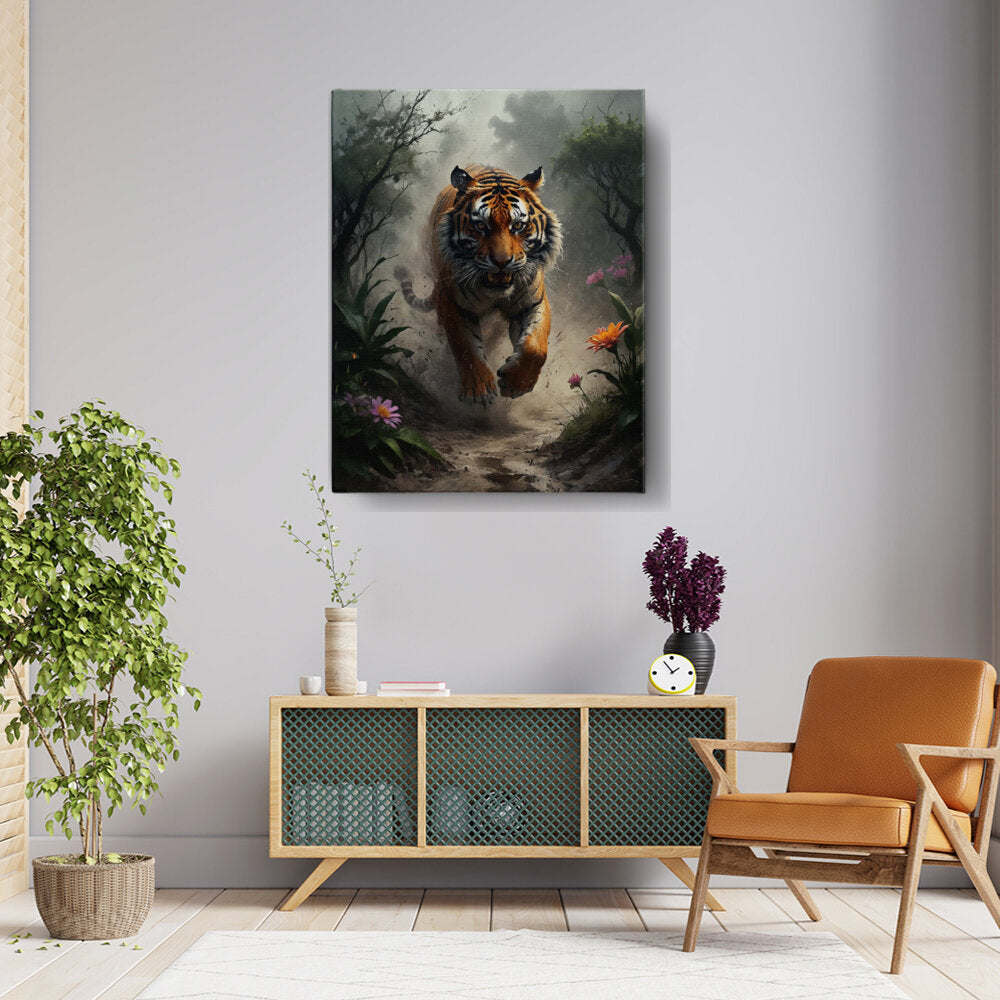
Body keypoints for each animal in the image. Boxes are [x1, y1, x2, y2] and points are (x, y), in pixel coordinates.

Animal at [396, 164, 562, 404]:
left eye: (518, 225)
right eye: (481, 225)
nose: (502, 262)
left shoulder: (532, 303)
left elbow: (536, 347)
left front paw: (516, 384)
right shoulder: (453, 304)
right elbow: (465, 346)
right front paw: (479, 390)